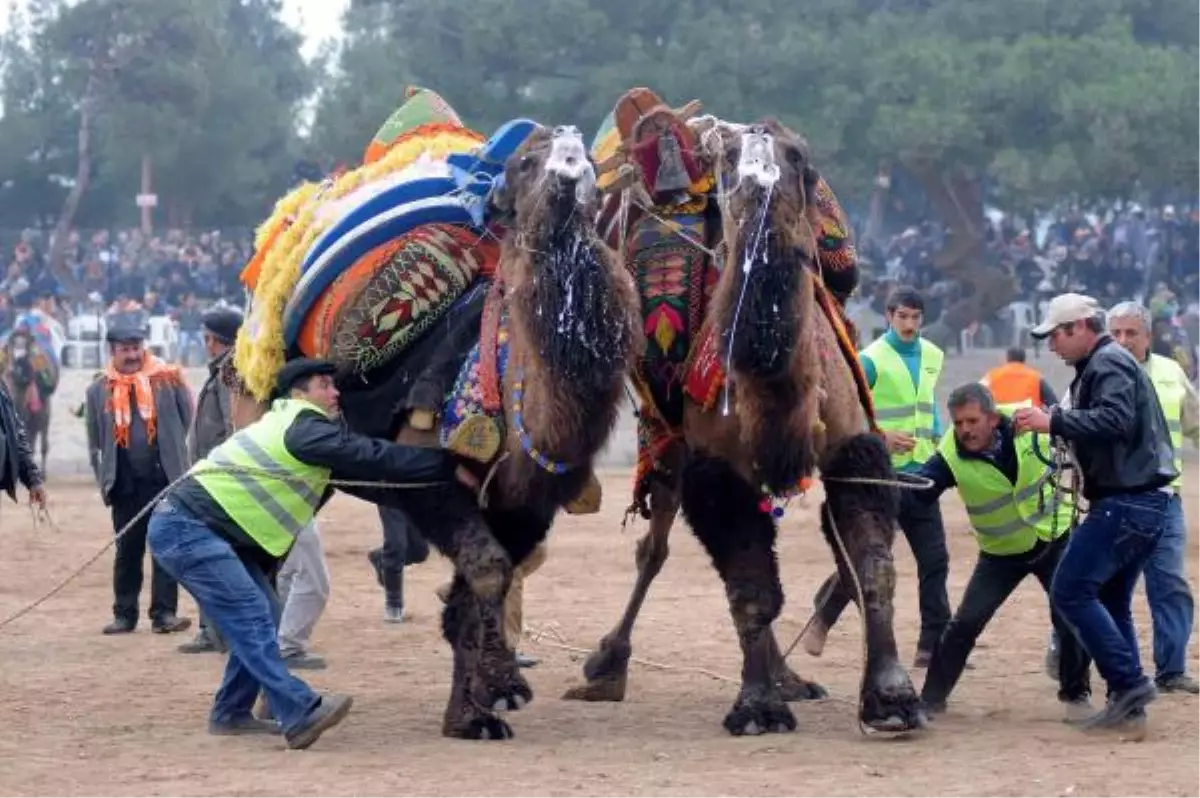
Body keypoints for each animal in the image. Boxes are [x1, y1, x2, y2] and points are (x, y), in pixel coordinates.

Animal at [235, 124, 648, 739]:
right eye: (525, 163)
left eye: (593, 170)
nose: (569, 163)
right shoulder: (428, 483)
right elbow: (488, 572)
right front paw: (503, 683)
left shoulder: (525, 506)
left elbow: (468, 600)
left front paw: (471, 717)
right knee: (258, 562)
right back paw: (265, 706)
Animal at [564, 97, 926, 734]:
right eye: (729, 161)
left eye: (800, 157)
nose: (761, 176)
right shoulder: (714, 464)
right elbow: (751, 585)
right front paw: (757, 706)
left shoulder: (852, 444)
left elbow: (871, 563)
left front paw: (892, 696)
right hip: (665, 435)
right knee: (655, 547)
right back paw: (607, 664)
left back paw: (790, 676)